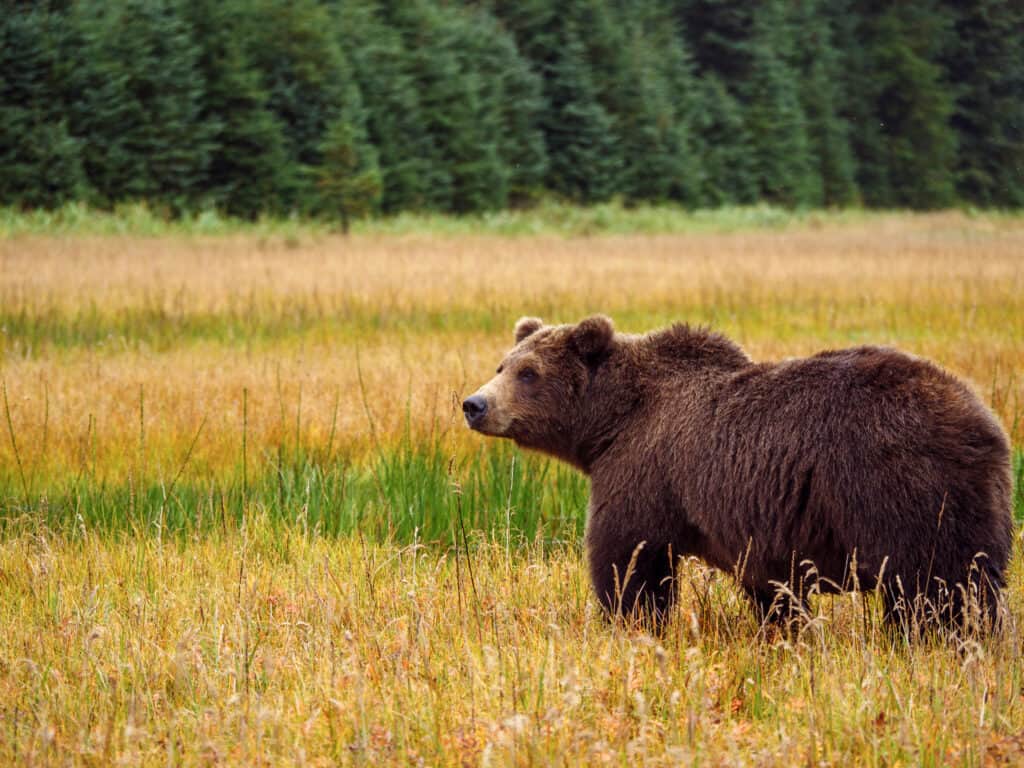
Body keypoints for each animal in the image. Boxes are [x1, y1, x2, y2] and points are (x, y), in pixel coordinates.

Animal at [466, 315, 1015, 634]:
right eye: (502, 365)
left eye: (529, 373)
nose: (474, 404)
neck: (612, 423)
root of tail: (982, 423)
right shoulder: (759, 532)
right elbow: (773, 590)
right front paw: (785, 630)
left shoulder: (643, 471)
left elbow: (627, 557)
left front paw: (628, 621)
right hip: (976, 501)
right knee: (974, 581)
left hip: (897, 487)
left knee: (929, 585)